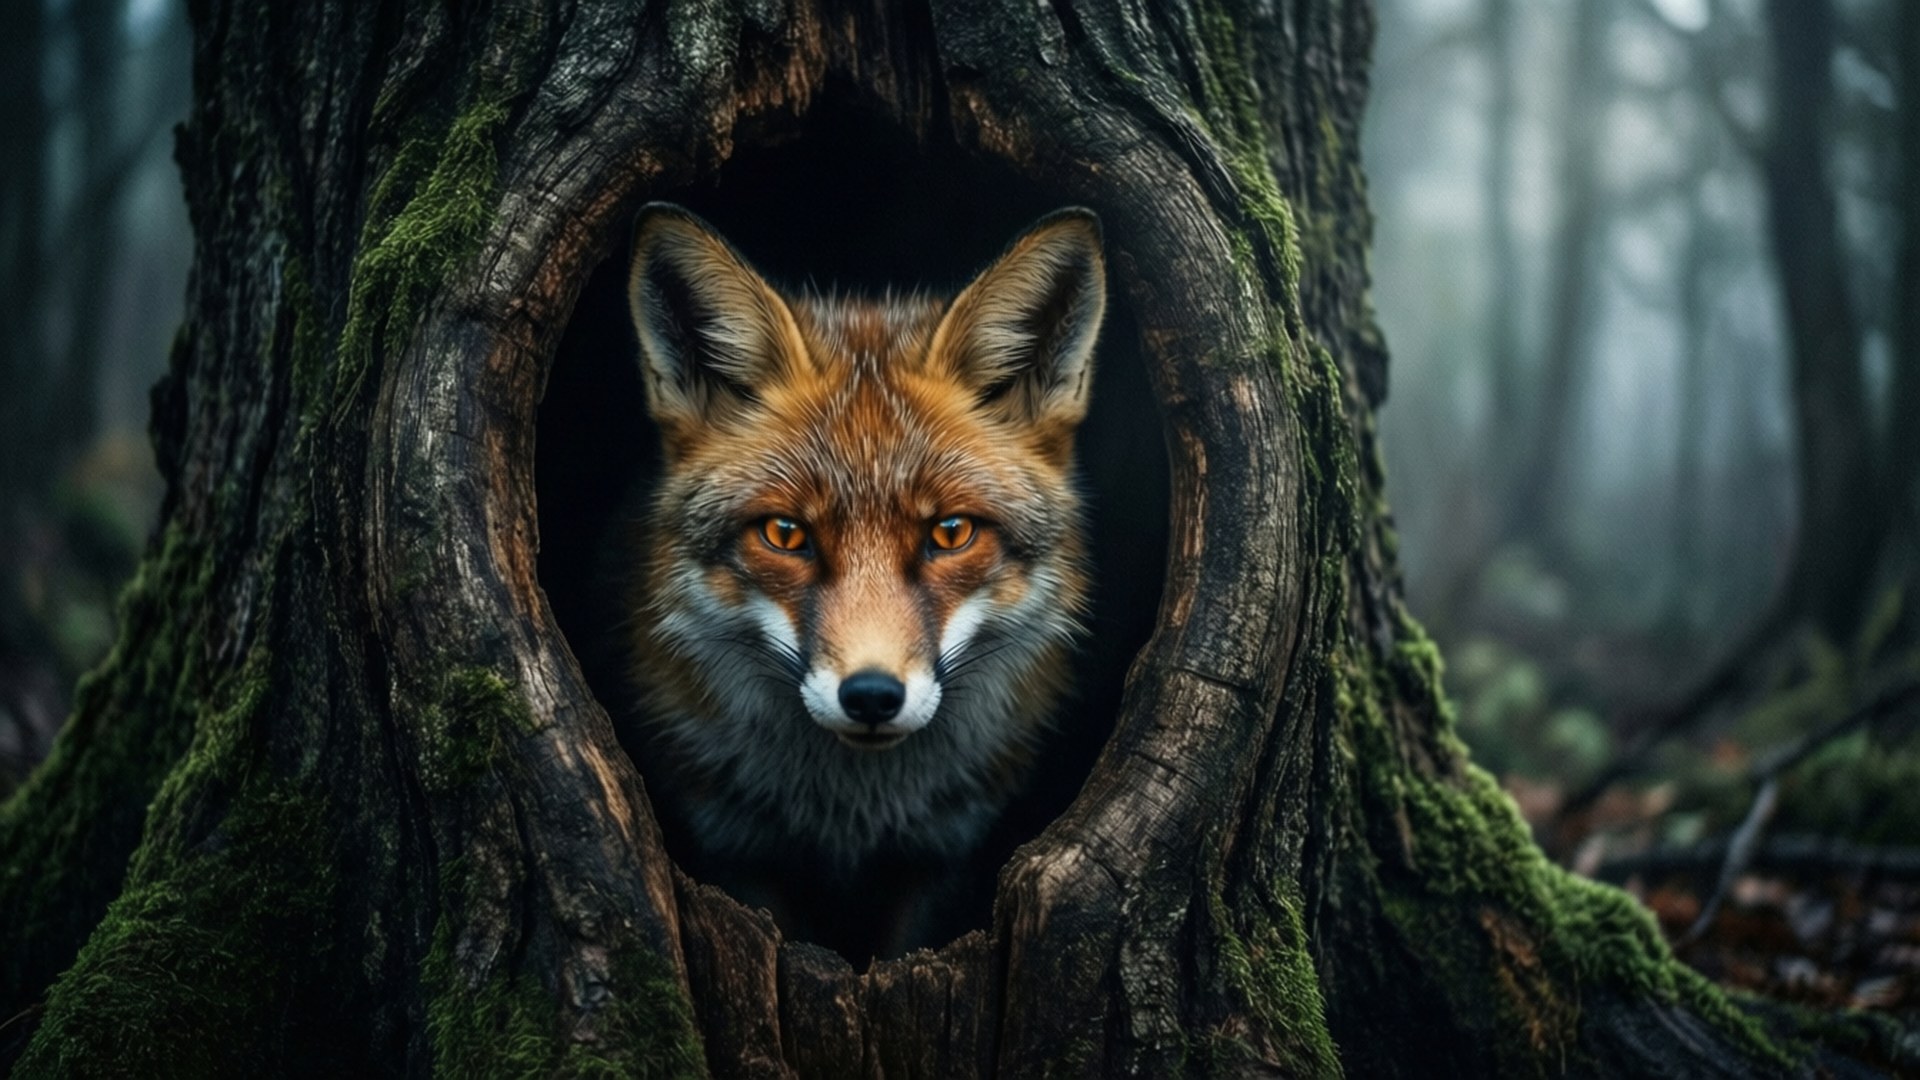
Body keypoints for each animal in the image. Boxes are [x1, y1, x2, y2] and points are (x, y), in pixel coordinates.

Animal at [615, 202, 1106, 962]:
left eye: (950, 533)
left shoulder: (939, 856)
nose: (872, 695)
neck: (850, 813)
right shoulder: (741, 851)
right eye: (786, 534)